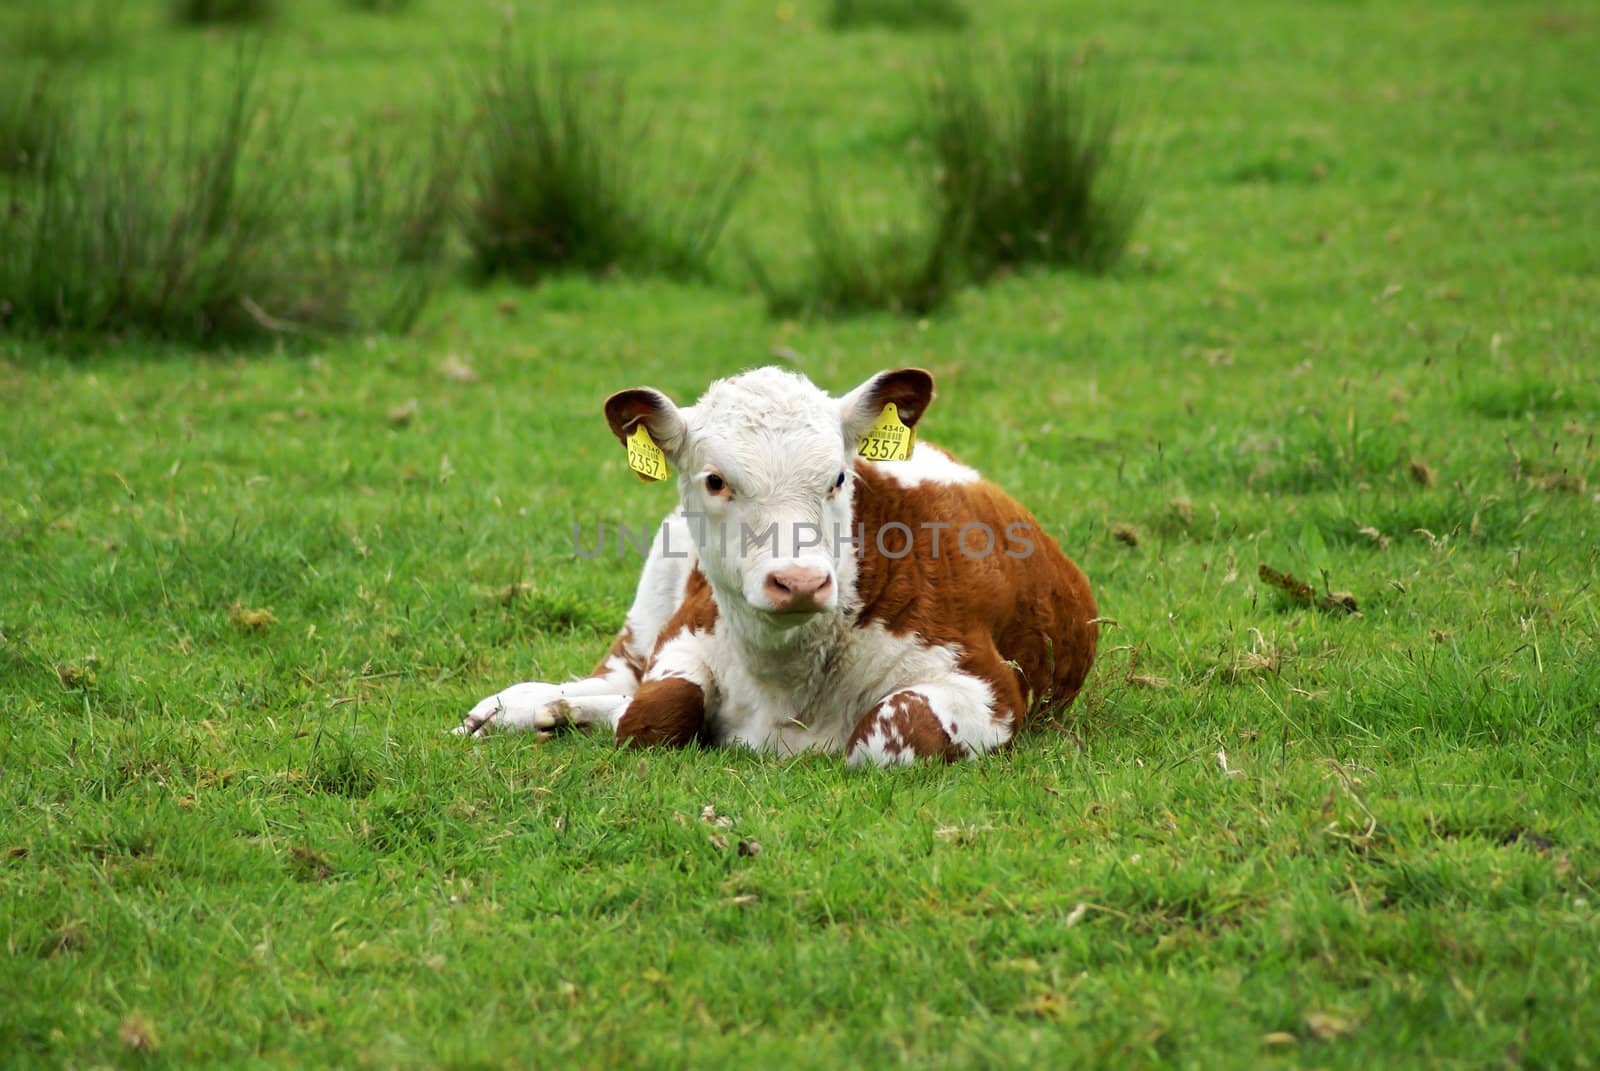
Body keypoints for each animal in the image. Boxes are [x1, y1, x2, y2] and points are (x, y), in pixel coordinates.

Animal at [457, 368, 1094, 758]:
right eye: (715, 480)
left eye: (839, 478)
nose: (801, 581)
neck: (786, 681)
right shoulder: (682, 637)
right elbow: (651, 716)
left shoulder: (989, 683)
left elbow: (889, 733)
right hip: (651, 597)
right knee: (616, 679)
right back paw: (517, 705)